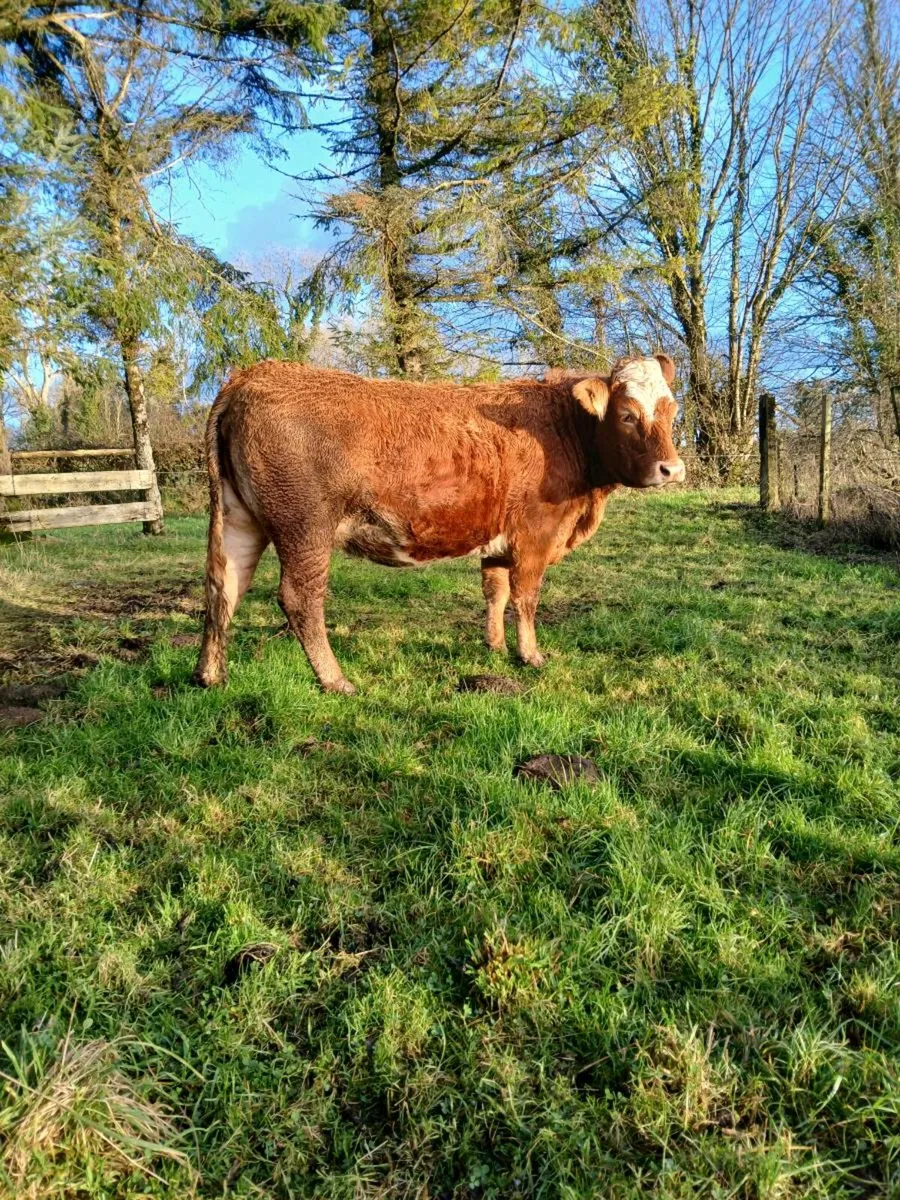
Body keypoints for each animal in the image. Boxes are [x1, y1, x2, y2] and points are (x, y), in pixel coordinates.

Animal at [193, 354, 685, 694]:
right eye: (627, 414)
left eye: (671, 410)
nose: (672, 470)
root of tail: (251, 375)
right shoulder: (536, 535)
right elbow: (526, 597)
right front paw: (530, 655)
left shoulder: (498, 541)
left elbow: (495, 593)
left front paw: (494, 647)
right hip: (305, 526)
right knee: (300, 599)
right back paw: (335, 680)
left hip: (239, 518)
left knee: (224, 587)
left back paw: (210, 675)